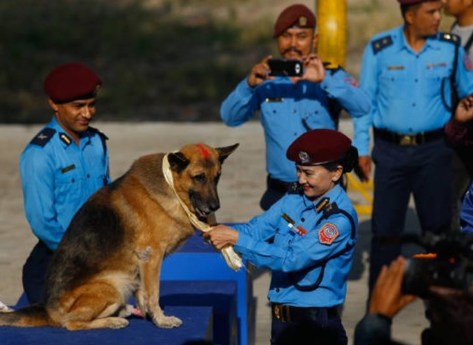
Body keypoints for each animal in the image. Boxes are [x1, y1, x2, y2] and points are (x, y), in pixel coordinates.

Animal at [0, 143, 236, 330]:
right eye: (199, 177)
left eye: (217, 178)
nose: (215, 207)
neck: (171, 186)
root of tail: (47, 309)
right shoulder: (152, 258)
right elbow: (153, 293)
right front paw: (161, 320)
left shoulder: (142, 263)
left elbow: (144, 294)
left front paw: (149, 315)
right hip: (113, 286)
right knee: (71, 324)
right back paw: (114, 321)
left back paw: (123, 312)